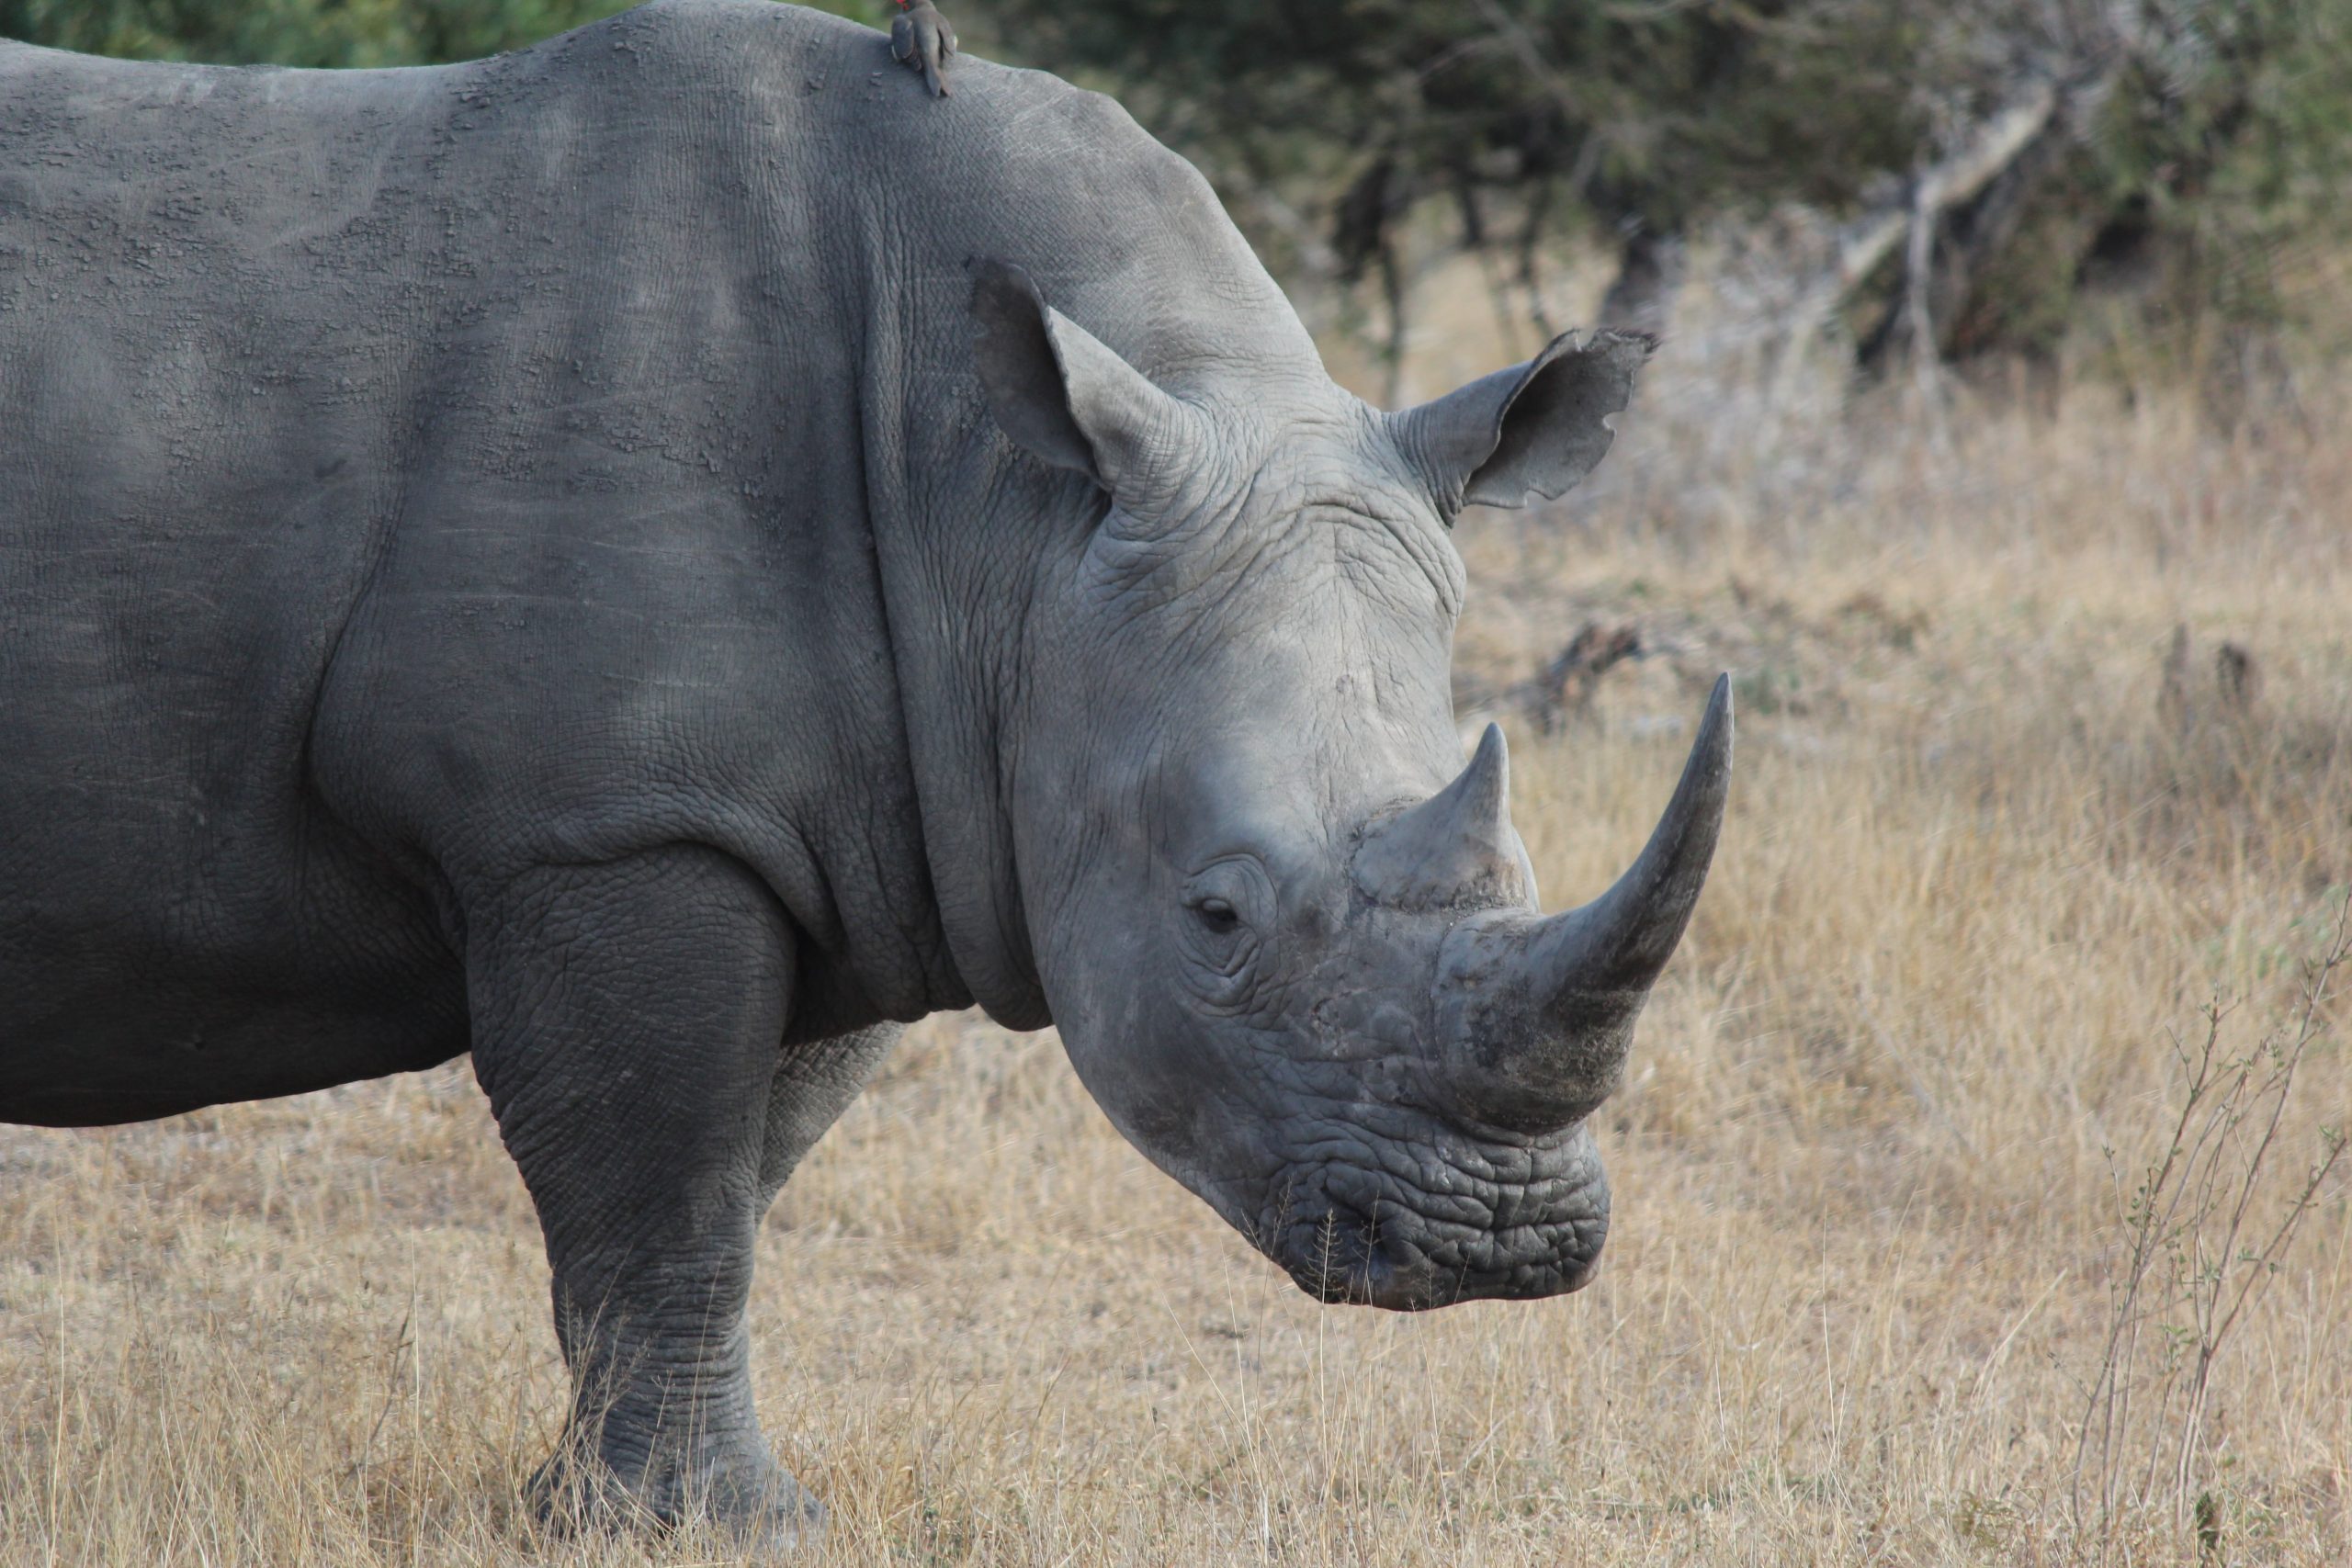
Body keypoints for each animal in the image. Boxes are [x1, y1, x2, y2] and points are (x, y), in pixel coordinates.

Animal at [0, 0, 1731, 1546]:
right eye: (1218, 917)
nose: (1505, 1237)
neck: (1012, 523)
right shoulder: (611, 822)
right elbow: (664, 1193)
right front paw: (709, 1530)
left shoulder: (862, 825)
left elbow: (721, 1192)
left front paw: (617, 1507)